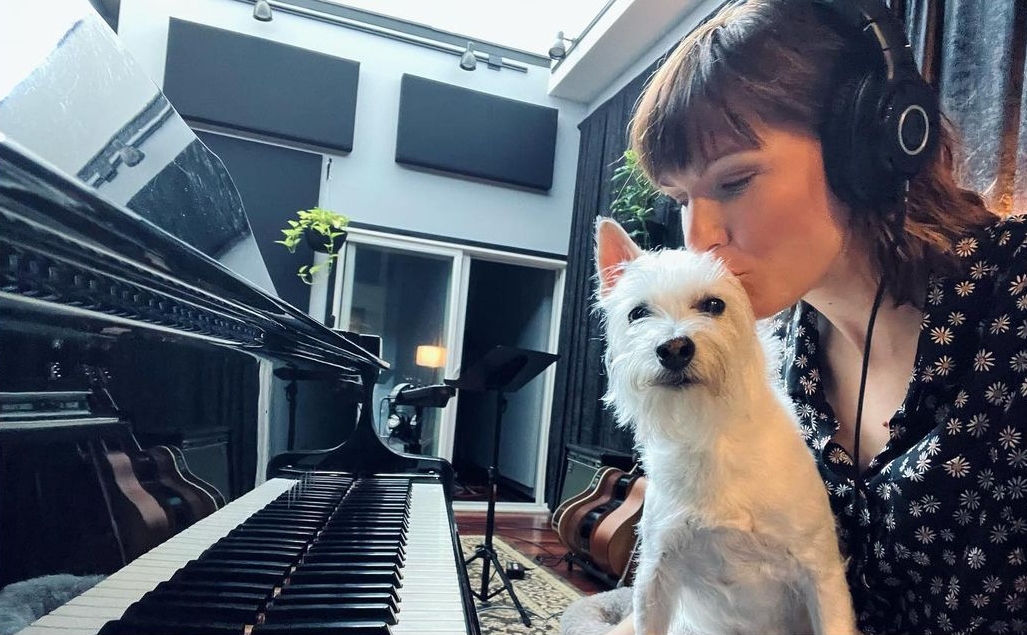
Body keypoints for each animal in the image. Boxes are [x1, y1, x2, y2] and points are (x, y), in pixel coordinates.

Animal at [595, 218, 858, 632]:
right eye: (637, 313)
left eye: (714, 305)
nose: (674, 348)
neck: (709, 431)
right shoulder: (656, 575)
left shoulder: (822, 574)